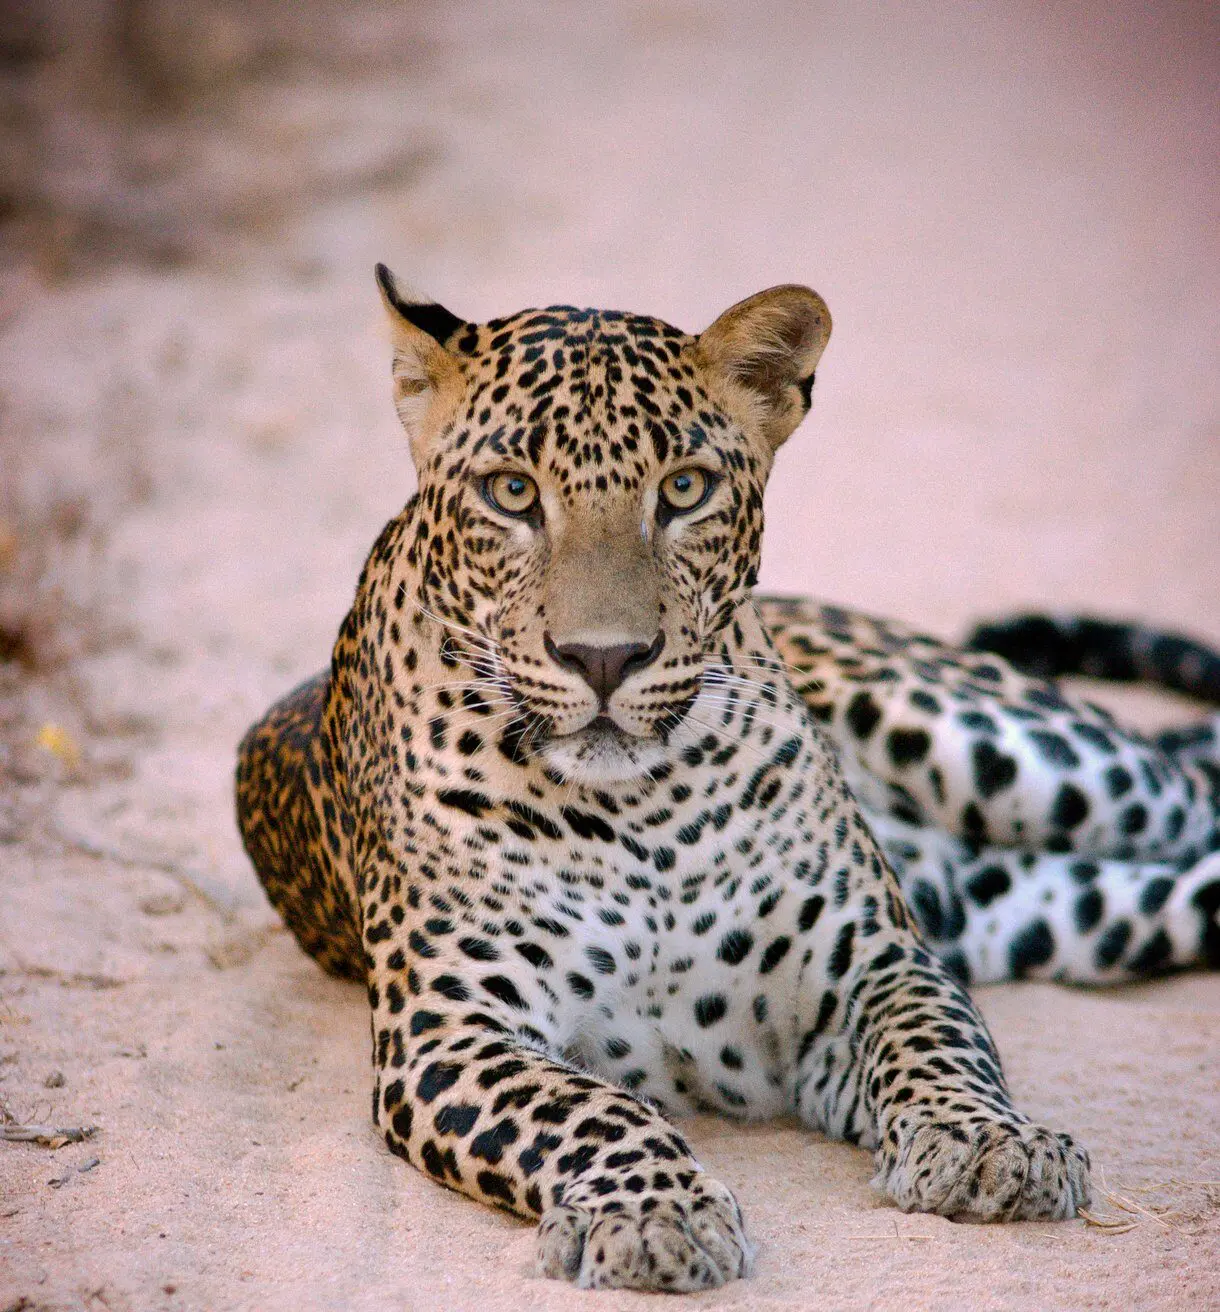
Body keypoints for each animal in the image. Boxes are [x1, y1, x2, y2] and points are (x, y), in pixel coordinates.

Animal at [235, 266, 1220, 1292]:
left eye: (684, 489)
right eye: (511, 493)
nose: (604, 658)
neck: (642, 814)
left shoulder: (875, 960)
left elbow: (936, 1042)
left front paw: (989, 1142)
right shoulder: (450, 1029)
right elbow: (588, 1108)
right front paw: (651, 1211)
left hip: (1051, 768)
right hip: (1080, 912)